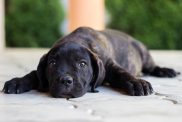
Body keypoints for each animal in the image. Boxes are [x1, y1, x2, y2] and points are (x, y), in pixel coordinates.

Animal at [2, 26, 179, 98]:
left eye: (82, 64)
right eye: (52, 63)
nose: (65, 81)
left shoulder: (110, 65)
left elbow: (124, 74)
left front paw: (137, 83)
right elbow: (34, 74)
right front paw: (17, 82)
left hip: (144, 53)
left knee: (152, 66)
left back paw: (165, 71)